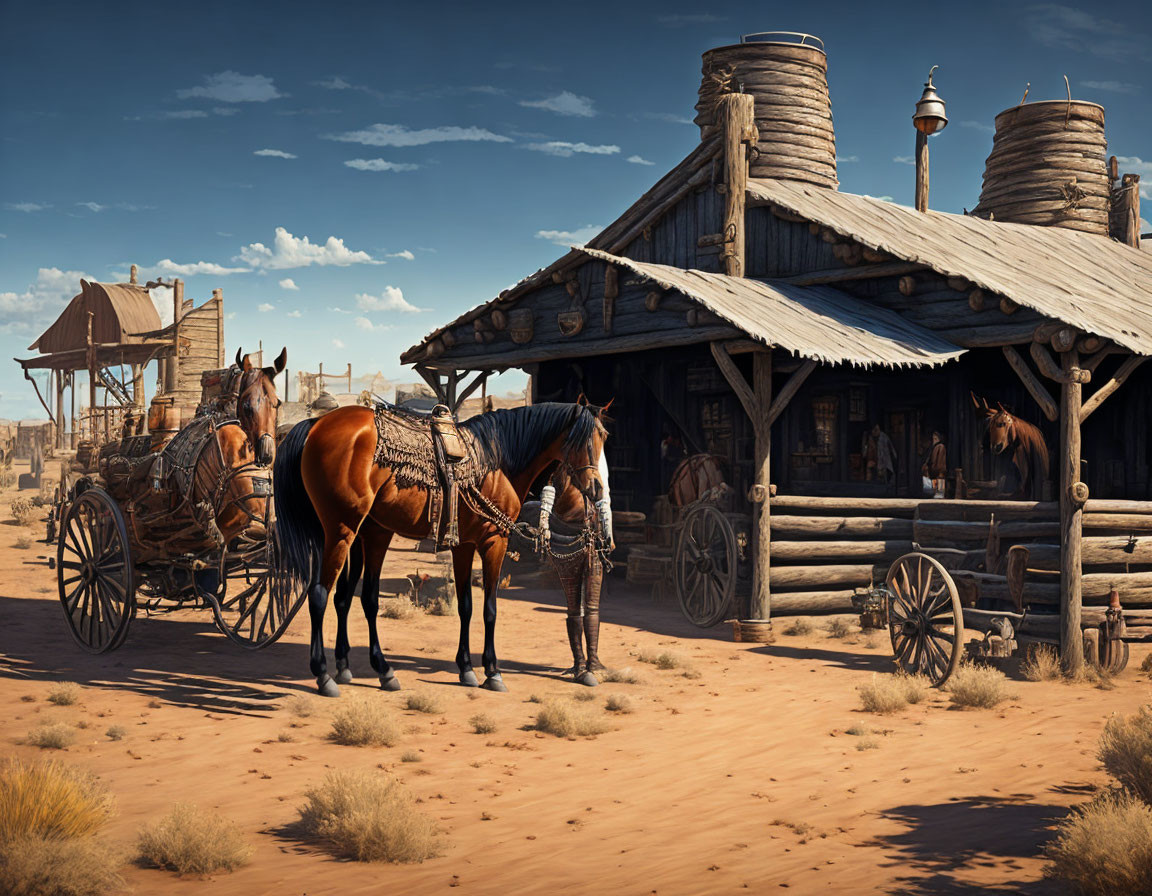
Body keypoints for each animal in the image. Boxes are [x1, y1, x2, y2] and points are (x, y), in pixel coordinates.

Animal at [274, 400, 612, 700]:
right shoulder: (494, 541)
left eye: (604, 436)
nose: (597, 488)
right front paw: (493, 672)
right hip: (341, 530)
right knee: (320, 595)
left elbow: (466, 606)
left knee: (350, 598)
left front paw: (467, 669)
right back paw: (324, 676)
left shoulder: (464, 545)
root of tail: (315, 424)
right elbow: (490, 609)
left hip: (366, 533)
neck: (498, 462)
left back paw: (369, 670)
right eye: (582, 440)